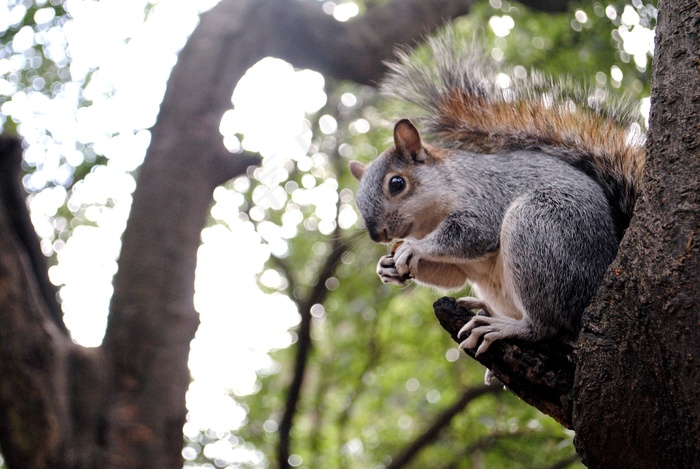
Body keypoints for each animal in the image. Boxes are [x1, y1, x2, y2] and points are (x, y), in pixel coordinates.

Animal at [348, 33, 644, 354]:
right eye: (357, 201)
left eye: (396, 184)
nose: (377, 235)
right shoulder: (458, 264)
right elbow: (451, 276)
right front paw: (386, 267)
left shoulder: (485, 195)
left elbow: (472, 233)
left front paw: (413, 248)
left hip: (538, 229)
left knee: (547, 327)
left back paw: (505, 326)